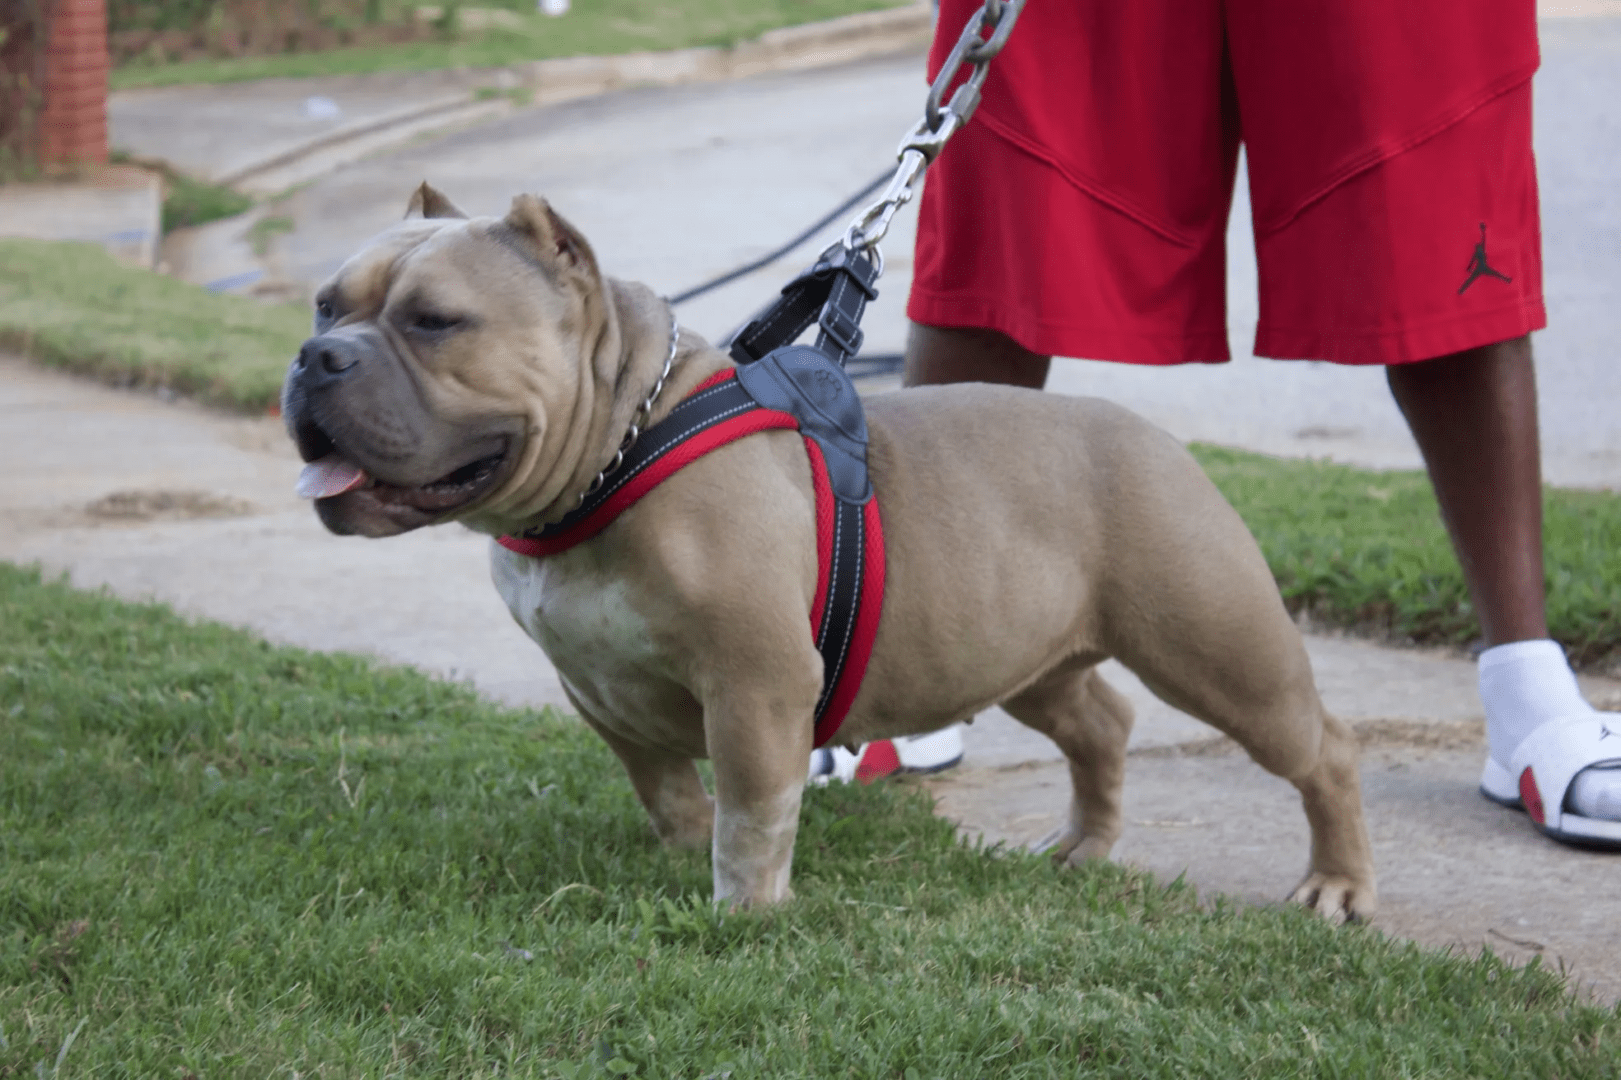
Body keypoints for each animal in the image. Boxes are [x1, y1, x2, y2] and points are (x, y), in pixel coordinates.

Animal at [285, 183, 1374, 914]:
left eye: (435, 323)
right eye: (325, 304)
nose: (314, 356)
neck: (620, 447)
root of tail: (1154, 434)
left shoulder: (756, 684)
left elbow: (752, 812)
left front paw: (744, 912)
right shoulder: (600, 693)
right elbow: (668, 790)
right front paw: (679, 858)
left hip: (1218, 652)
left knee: (1319, 748)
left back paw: (1334, 886)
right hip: (1027, 655)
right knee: (1099, 723)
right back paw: (1082, 848)